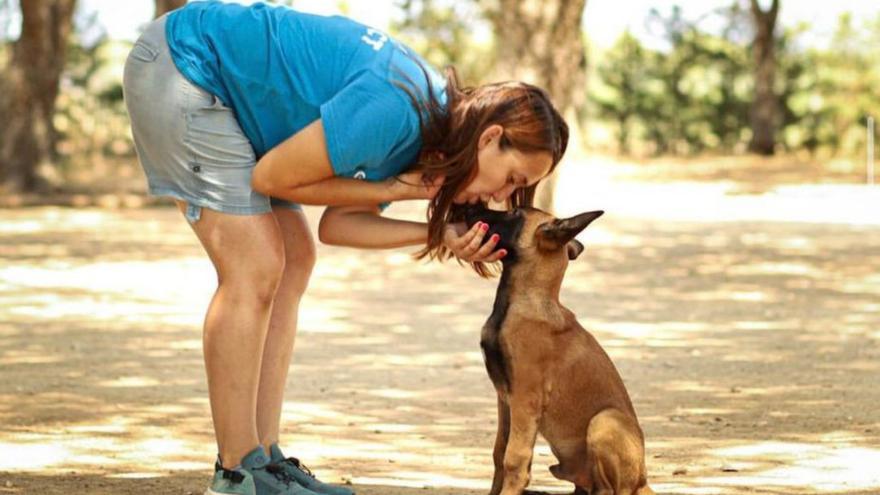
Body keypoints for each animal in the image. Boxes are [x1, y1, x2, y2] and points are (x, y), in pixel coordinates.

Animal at [460, 203, 652, 495]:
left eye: (515, 213)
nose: (468, 206)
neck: (527, 299)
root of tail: (643, 481)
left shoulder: (525, 397)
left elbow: (514, 458)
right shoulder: (504, 397)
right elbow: (499, 452)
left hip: (604, 420)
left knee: (611, 490)